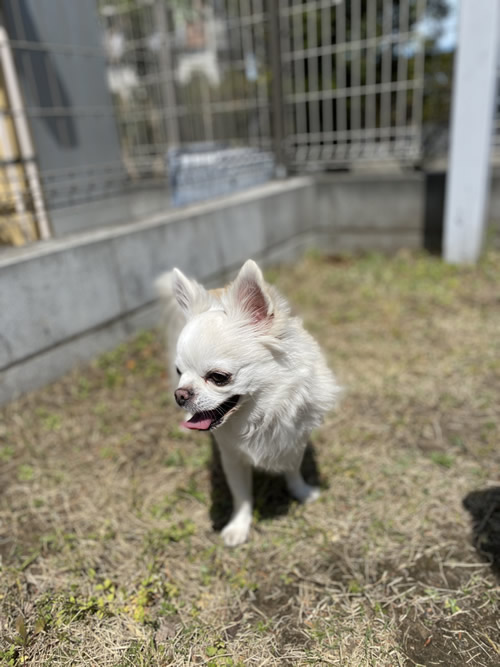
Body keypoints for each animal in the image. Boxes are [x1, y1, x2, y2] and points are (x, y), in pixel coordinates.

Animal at [154, 258, 338, 544]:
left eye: (219, 378)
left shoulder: (294, 441)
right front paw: (238, 527)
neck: (259, 412)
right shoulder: (231, 456)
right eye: (178, 371)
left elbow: (292, 470)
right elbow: (241, 495)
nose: (180, 395)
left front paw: (302, 493)